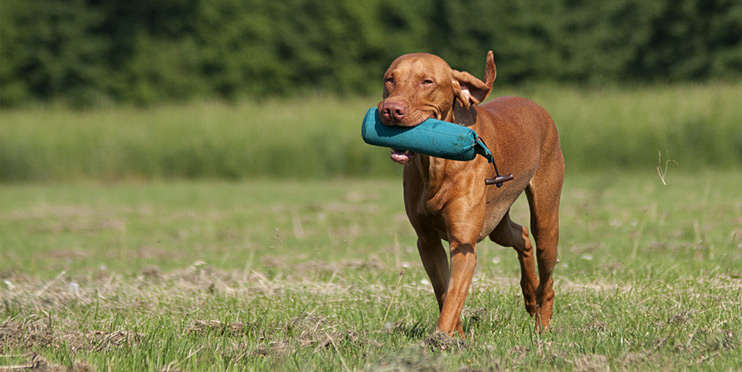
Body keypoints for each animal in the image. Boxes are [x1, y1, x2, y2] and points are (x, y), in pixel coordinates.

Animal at [380, 50, 568, 338]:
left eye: (427, 81)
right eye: (390, 79)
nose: (391, 109)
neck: (436, 162)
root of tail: (535, 105)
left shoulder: (463, 244)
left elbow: (453, 295)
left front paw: (441, 339)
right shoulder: (427, 242)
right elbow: (445, 293)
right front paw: (454, 337)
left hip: (546, 221)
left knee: (546, 273)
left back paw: (542, 324)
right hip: (497, 223)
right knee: (522, 236)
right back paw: (528, 296)